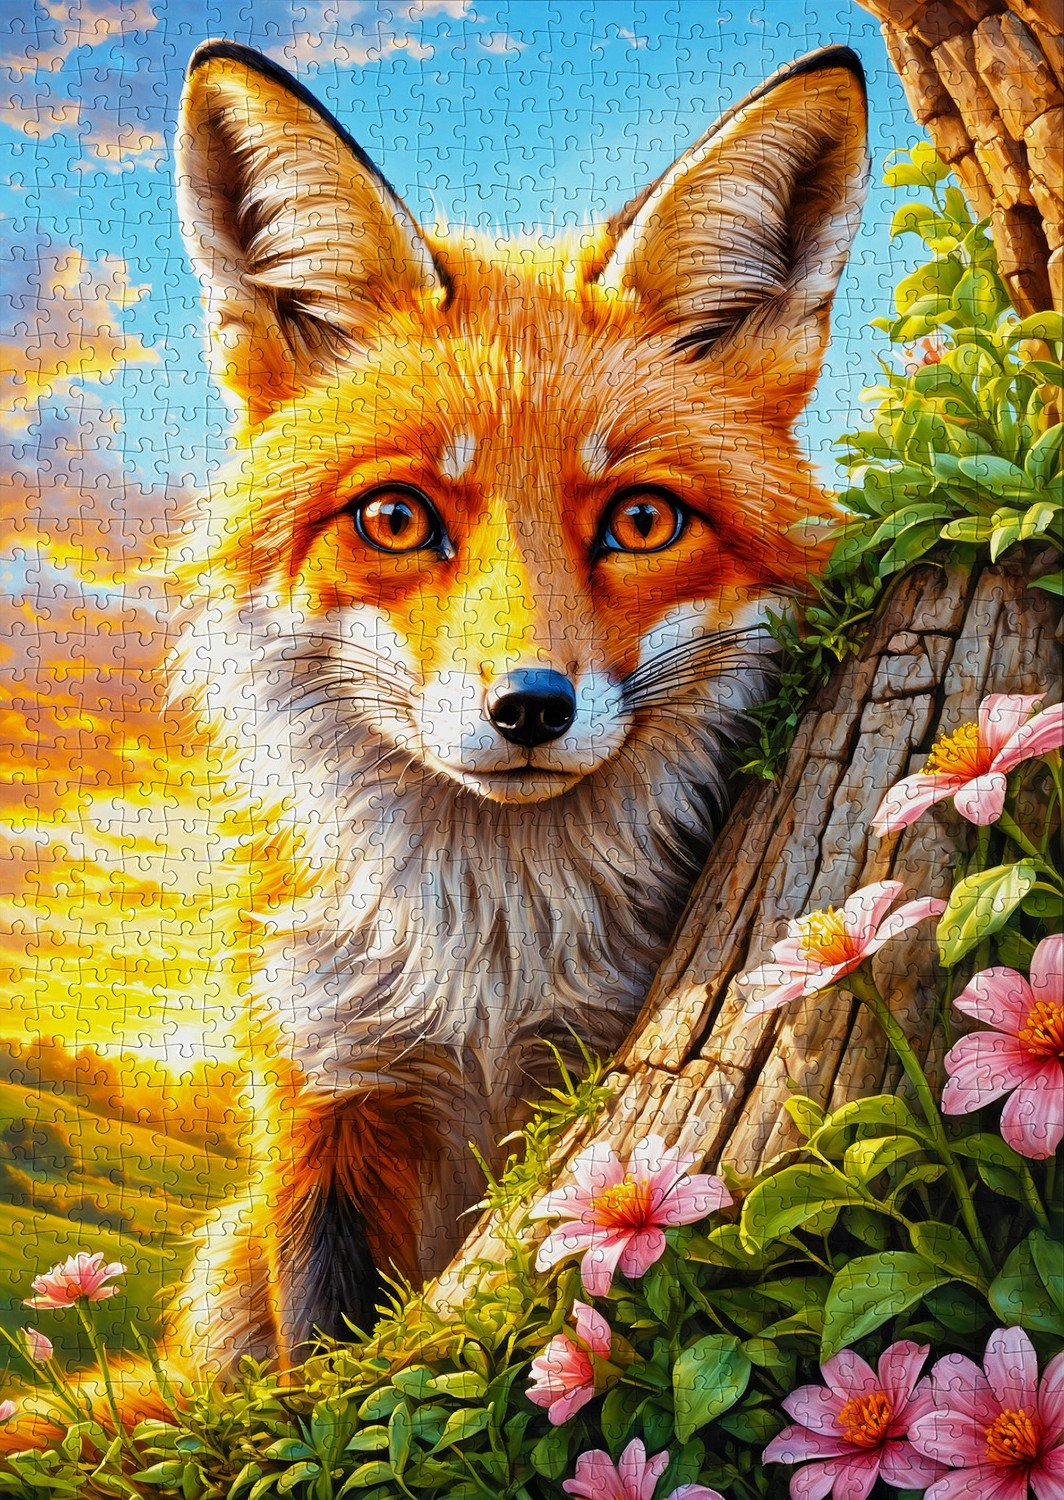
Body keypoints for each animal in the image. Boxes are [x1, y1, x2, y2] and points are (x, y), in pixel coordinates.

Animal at [4, 41, 870, 1448]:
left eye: (640, 519)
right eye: (397, 518)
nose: (528, 708)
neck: (489, 967)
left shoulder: (576, 1077)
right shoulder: (327, 1104)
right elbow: (325, 1376)